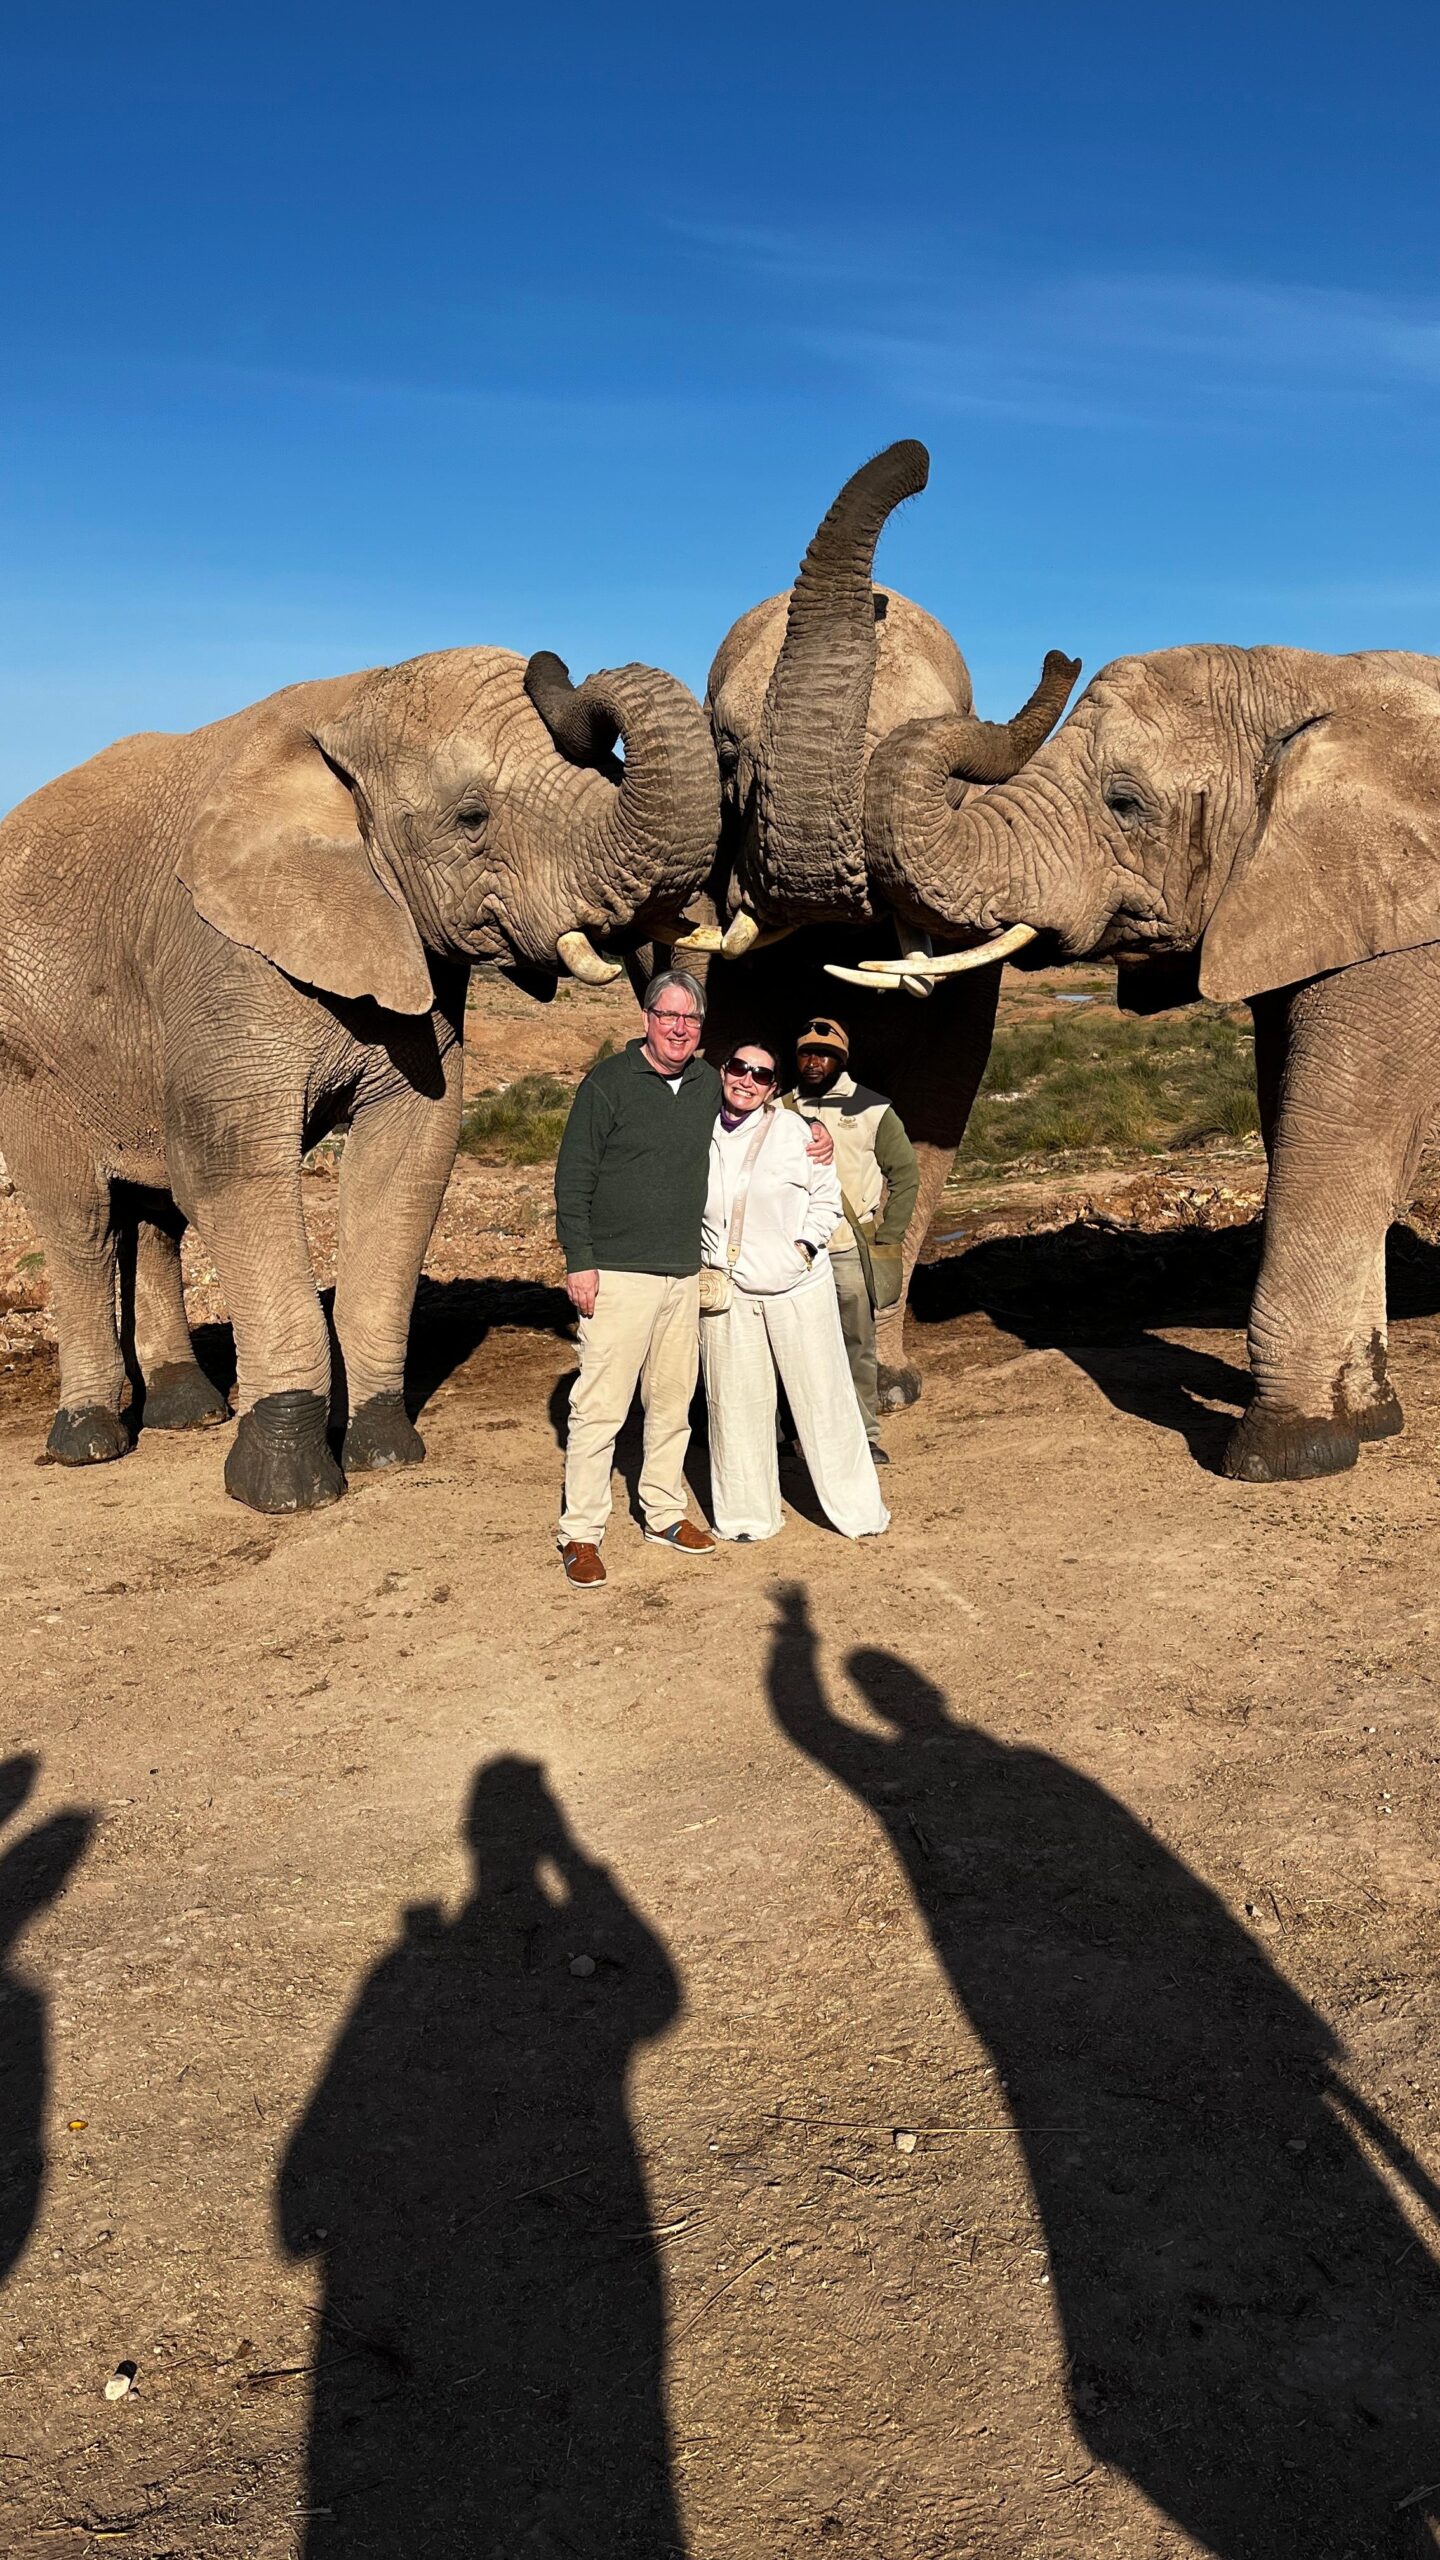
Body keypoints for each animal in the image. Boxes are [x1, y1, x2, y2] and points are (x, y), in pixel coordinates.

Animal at [0, 647, 717, 1511]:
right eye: (471, 817)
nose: (558, 667)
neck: (352, 701)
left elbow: (406, 1161)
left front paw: (385, 1453)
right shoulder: (221, 956)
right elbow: (229, 1171)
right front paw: (288, 1488)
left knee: (152, 1216)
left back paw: (189, 1413)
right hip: (30, 1052)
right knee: (80, 1220)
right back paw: (89, 1441)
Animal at [846, 641, 1440, 1481]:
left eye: (1125, 803)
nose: (1060, 654)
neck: (1320, 675)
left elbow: (1334, 1139)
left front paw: (1282, 1456)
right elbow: (1314, 1130)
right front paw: (1370, 1422)